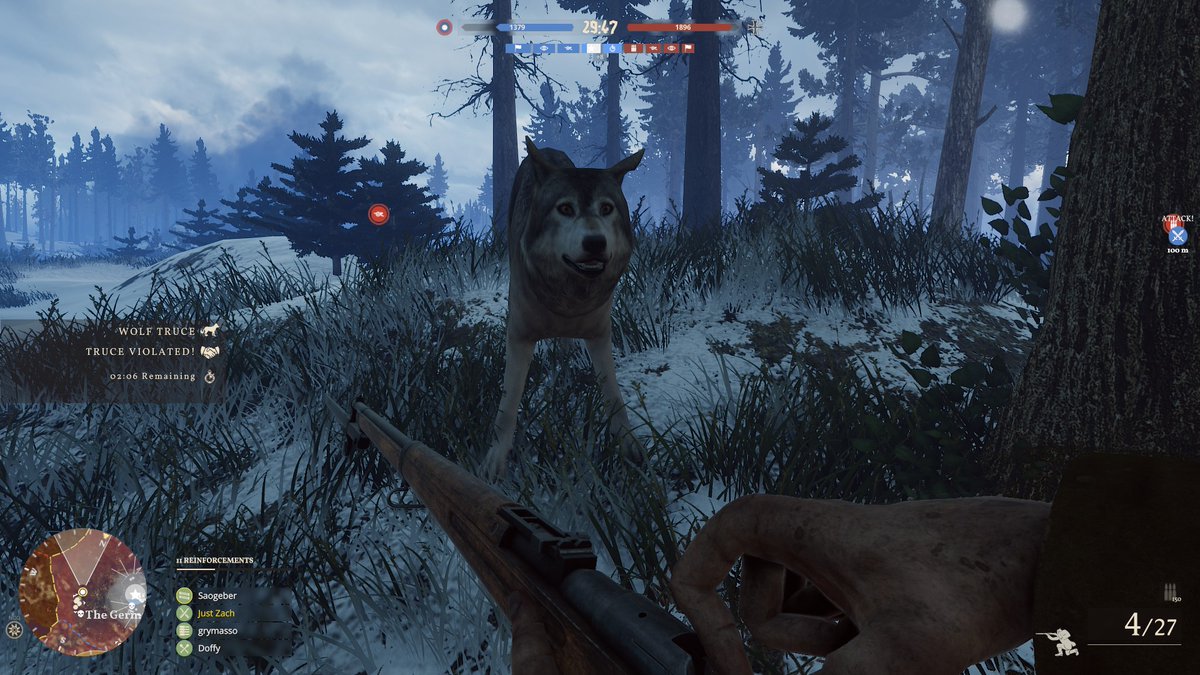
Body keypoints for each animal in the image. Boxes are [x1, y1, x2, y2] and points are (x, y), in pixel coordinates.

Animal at [483, 137, 645, 479]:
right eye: (565, 209)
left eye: (606, 208)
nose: (595, 242)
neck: (570, 297)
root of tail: (548, 150)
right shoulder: (519, 338)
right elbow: (508, 404)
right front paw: (496, 459)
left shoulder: (600, 336)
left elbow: (614, 396)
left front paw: (628, 445)